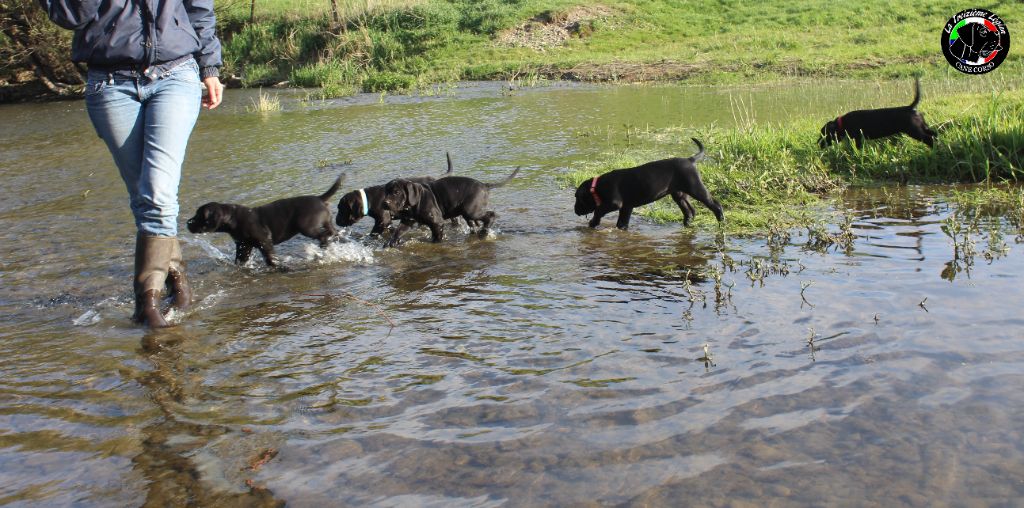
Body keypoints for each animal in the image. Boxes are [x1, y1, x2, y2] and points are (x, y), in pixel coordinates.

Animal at [186, 176, 342, 268]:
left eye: (199, 215)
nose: (187, 223)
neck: (232, 218)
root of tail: (320, 198)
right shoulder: (243, 246)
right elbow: (240, 261)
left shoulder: (264, 241)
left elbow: (270, 256)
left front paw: (276, 266)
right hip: (324, 222)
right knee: (332, 231)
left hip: (306, 227)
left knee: (323, 235)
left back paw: (324, 244)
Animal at [380, 167, 520, 246]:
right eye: (386, 191)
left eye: (396, 192)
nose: (384, 203)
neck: (416, 202)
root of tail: (485, 185)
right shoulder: (407, 221)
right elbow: (397, 232)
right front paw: (391, 243)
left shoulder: (437, 222)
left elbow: (437, 235)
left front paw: (436, 243)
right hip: (468, 213)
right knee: (475, 224)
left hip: (471, 211)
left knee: (491, 215)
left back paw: (484, 233)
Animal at [573, 137, 724, 228]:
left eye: (577, 198)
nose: (575, 210)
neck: (596, 187)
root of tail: (690, 160)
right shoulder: (626, 207)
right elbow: (622, 223)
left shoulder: (615, 203)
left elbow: (598, 210)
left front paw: (593, 222)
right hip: (679, 194)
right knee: (690, 210)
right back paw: (687, 223)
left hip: (696, 188)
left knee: (715, 204)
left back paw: (721, 221)